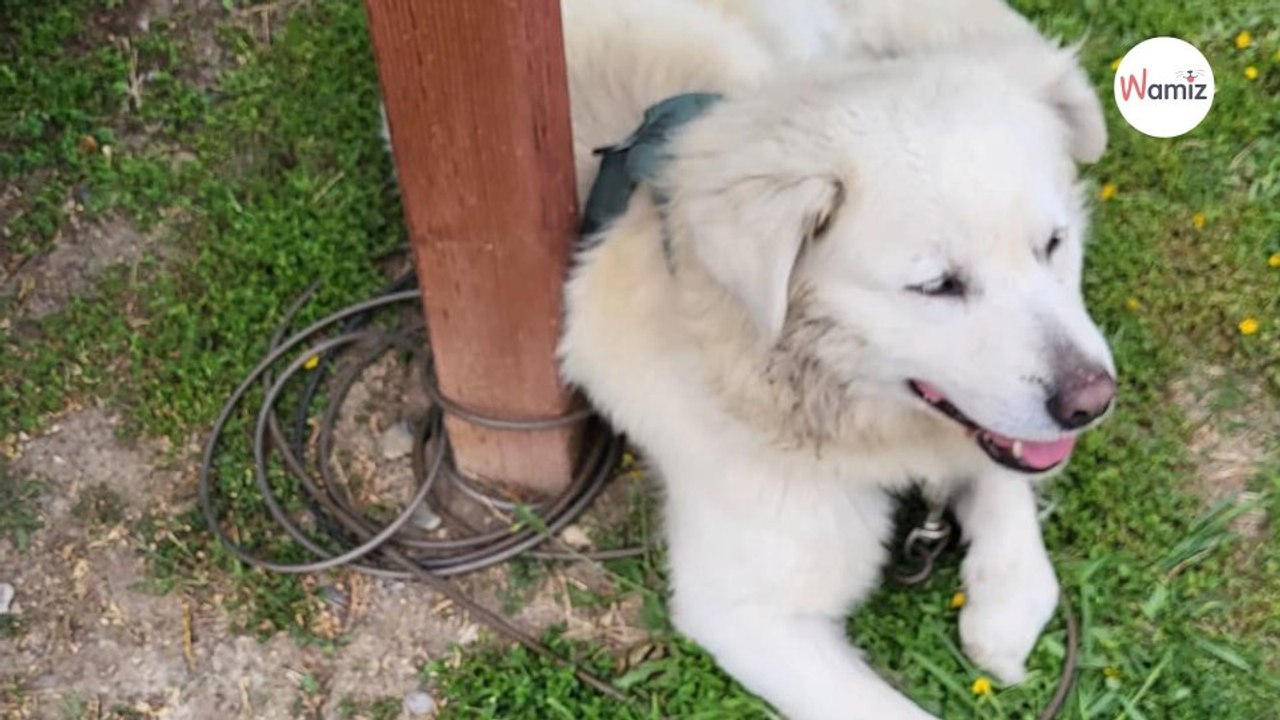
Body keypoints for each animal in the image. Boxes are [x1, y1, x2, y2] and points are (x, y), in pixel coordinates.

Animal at [558, 2, 1111, 712]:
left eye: (1053, 244)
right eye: (938, 286)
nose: (1092, 403)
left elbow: (1006, 484)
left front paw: (1004, 607)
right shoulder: (746, 610)